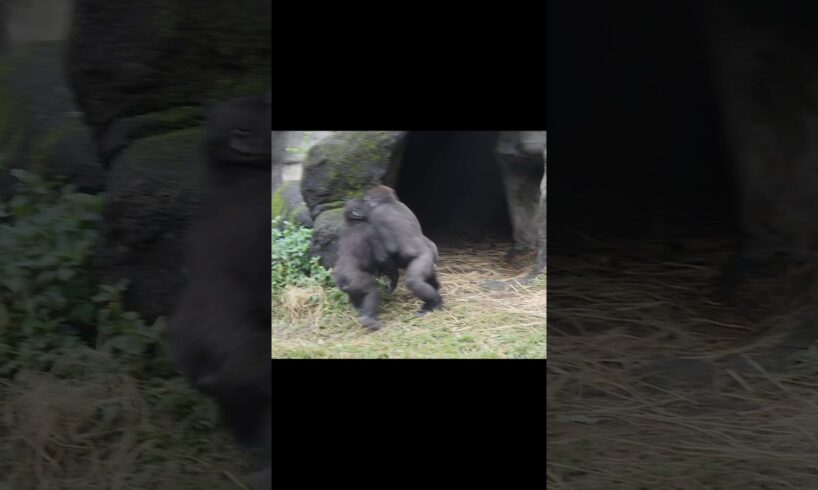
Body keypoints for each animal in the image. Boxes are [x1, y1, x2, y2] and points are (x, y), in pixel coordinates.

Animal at [330, 197, 396, 332]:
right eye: (366, 202)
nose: (372, 202)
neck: (353, 220)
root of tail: (343, 280)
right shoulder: (372, 229)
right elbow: (383, 258)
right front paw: (393, 280)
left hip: (343, 285)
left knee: (356, 297)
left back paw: (362, 313)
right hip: (356, 280)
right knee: (371, 291)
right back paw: (368, 320)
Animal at [362, 186, 440, 316]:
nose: (364, 204)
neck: (389, 201)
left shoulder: (375, 217)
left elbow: (384, 257)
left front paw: (392, 284)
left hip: (424, 258)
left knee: (414, 281)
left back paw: (434, 302)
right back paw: (436, 291)